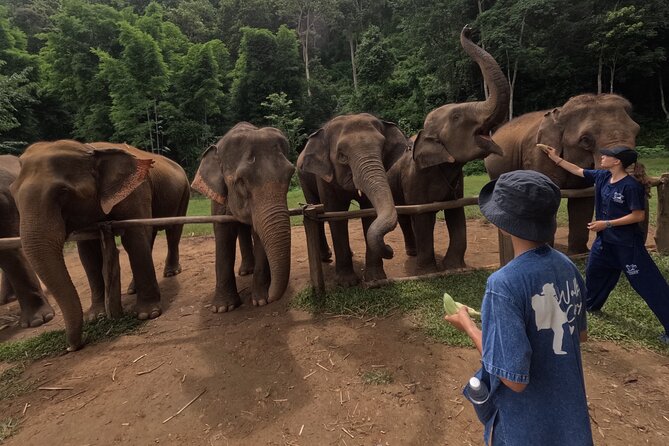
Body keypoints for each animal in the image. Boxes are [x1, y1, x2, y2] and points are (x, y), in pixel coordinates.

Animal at [10, 140, 190, 351]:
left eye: (63, 192)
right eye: (13, 193)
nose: (72, 347)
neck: (90, 149)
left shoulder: (137, 191)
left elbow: (135, 238)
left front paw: (147, 314)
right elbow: (88, 253)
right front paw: (95, 317)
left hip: (184, 192)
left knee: (173, 231)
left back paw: (170, 272)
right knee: (152, 235)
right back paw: (132, 288)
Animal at [191, 122, 295, 312]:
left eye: (291, 174)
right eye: (241, 181)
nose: (271, 295)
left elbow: (258, 234)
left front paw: (261, 300)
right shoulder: (219, 199)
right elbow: (223, 235)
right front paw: (223, 308)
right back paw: (246, 271)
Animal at [296, 113, 410, 284]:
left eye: (383, 149)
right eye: (342, 156)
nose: (390, 249)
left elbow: (369, 213)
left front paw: (375, 280)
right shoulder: (324, 178)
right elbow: (335, 214)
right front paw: (347, 283)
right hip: (303, 179)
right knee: (315, 208)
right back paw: (326, 257)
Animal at [387, 25, 510, 272]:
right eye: (456, 117)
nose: (469, 29)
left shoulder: (457, 182)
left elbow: (456, 214)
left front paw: (453, 266)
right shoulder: (415, 179)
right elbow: (423, 217)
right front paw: (427, 270)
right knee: (405, 217)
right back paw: (413, 254)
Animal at [484, 93, 640, 254]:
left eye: (637, 131)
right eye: (585, 140)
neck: (560, 113)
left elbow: (584, 200)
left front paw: (579, 253)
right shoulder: (536, 155)